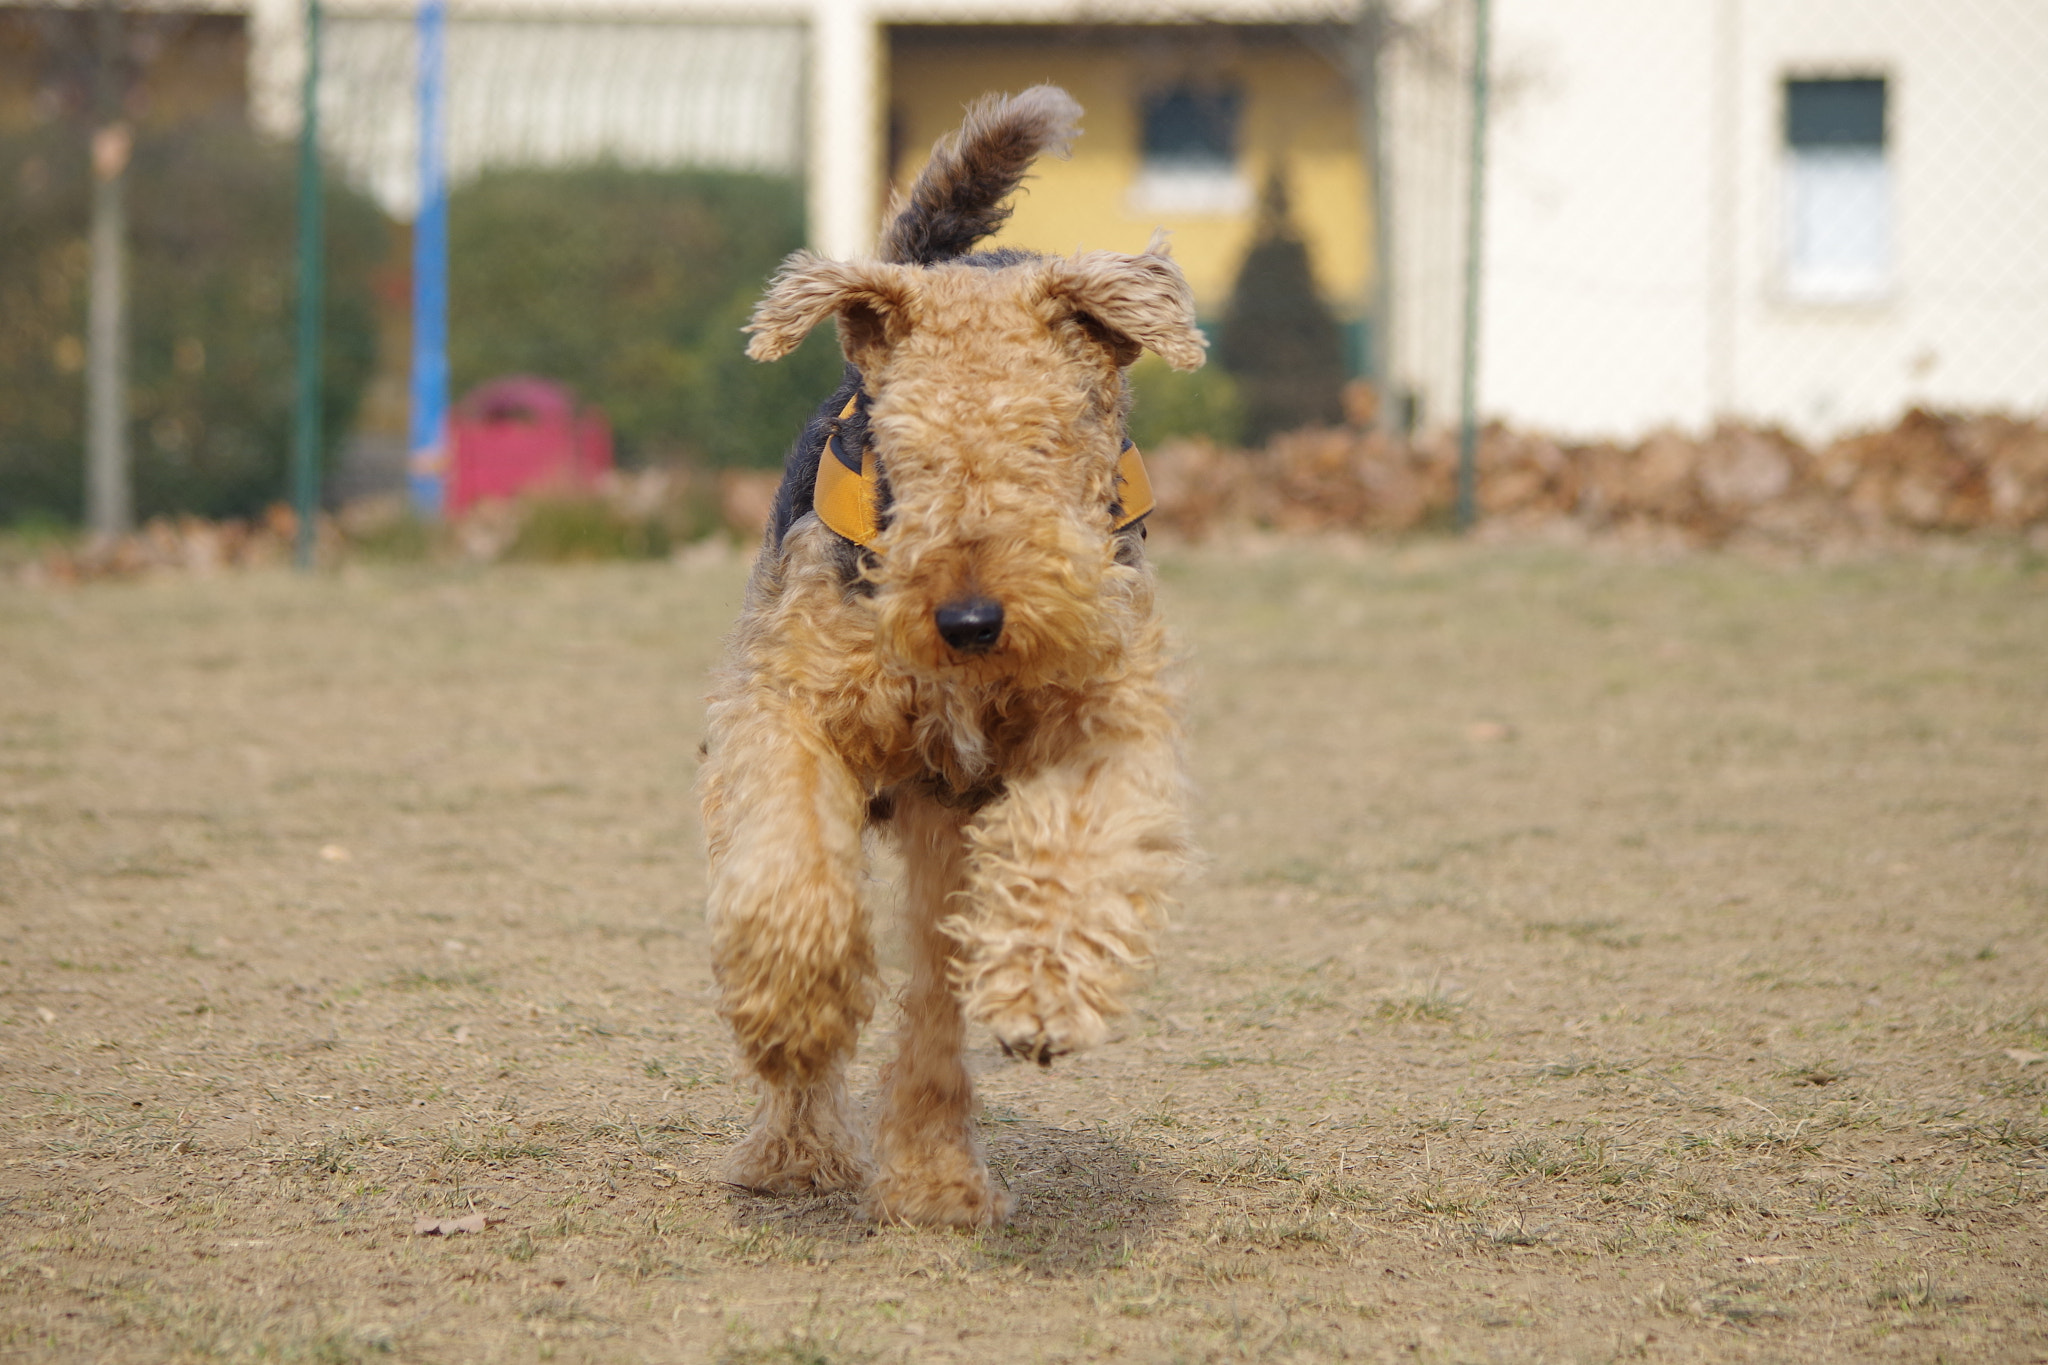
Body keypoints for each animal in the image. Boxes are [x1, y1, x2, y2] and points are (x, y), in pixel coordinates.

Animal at [700, 87, 1196, 1236]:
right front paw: (790, 1009)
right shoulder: (786, 706)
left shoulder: (1107, 721)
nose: (969, 619)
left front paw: (1043, 992)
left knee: (930, 1005)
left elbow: (1070, 850)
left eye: (1049, 438)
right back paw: (794, 1150)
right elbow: (792, 874)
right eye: (904, 447)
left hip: (943, 830)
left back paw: (933, 1177)